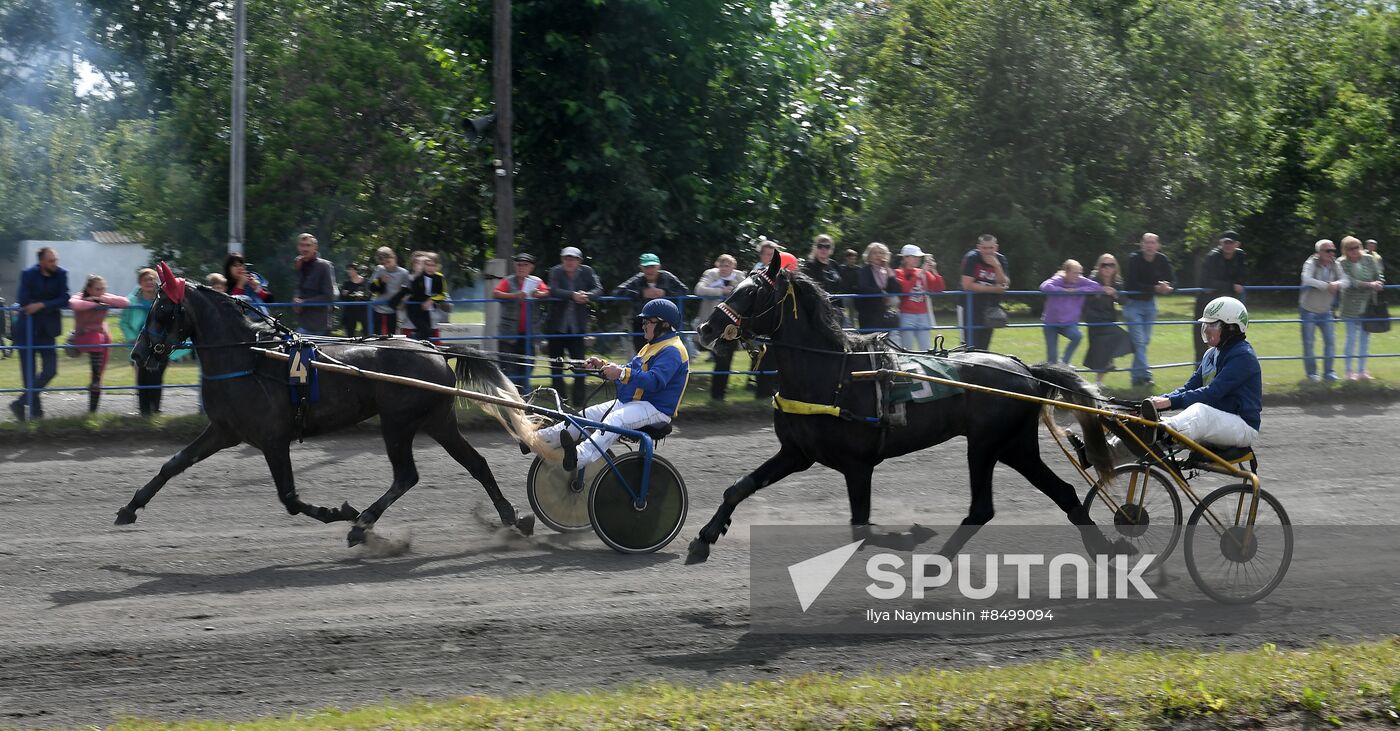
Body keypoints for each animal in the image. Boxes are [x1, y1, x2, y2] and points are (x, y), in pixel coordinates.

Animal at [121, 261, 546, 540]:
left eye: (162, 309)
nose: (139, 355)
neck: (249, 358)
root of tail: (432, 348)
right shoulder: (224, 431)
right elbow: (173, 464)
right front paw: (130, 507)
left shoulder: (273, 440)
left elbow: (290, 498)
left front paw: (339, 511)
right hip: (436, 421)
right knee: (476, 464)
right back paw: (512, 517)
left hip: (398, 423)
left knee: (407, 475)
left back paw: (362, 523)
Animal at [688, 256, 1125, 562]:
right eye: (733, 285)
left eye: (752, 293)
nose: (706, 330)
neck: (832, 375)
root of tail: (1025, 370)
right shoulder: (796, 453)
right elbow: (738, 487)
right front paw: (705, 537)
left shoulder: (857, 466)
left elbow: (861, 529)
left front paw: (910, 535)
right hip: (1014, 447)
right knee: (1063, 492)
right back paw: (1106, 549)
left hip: (985, 445)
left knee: (982, 508)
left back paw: (936, 566)